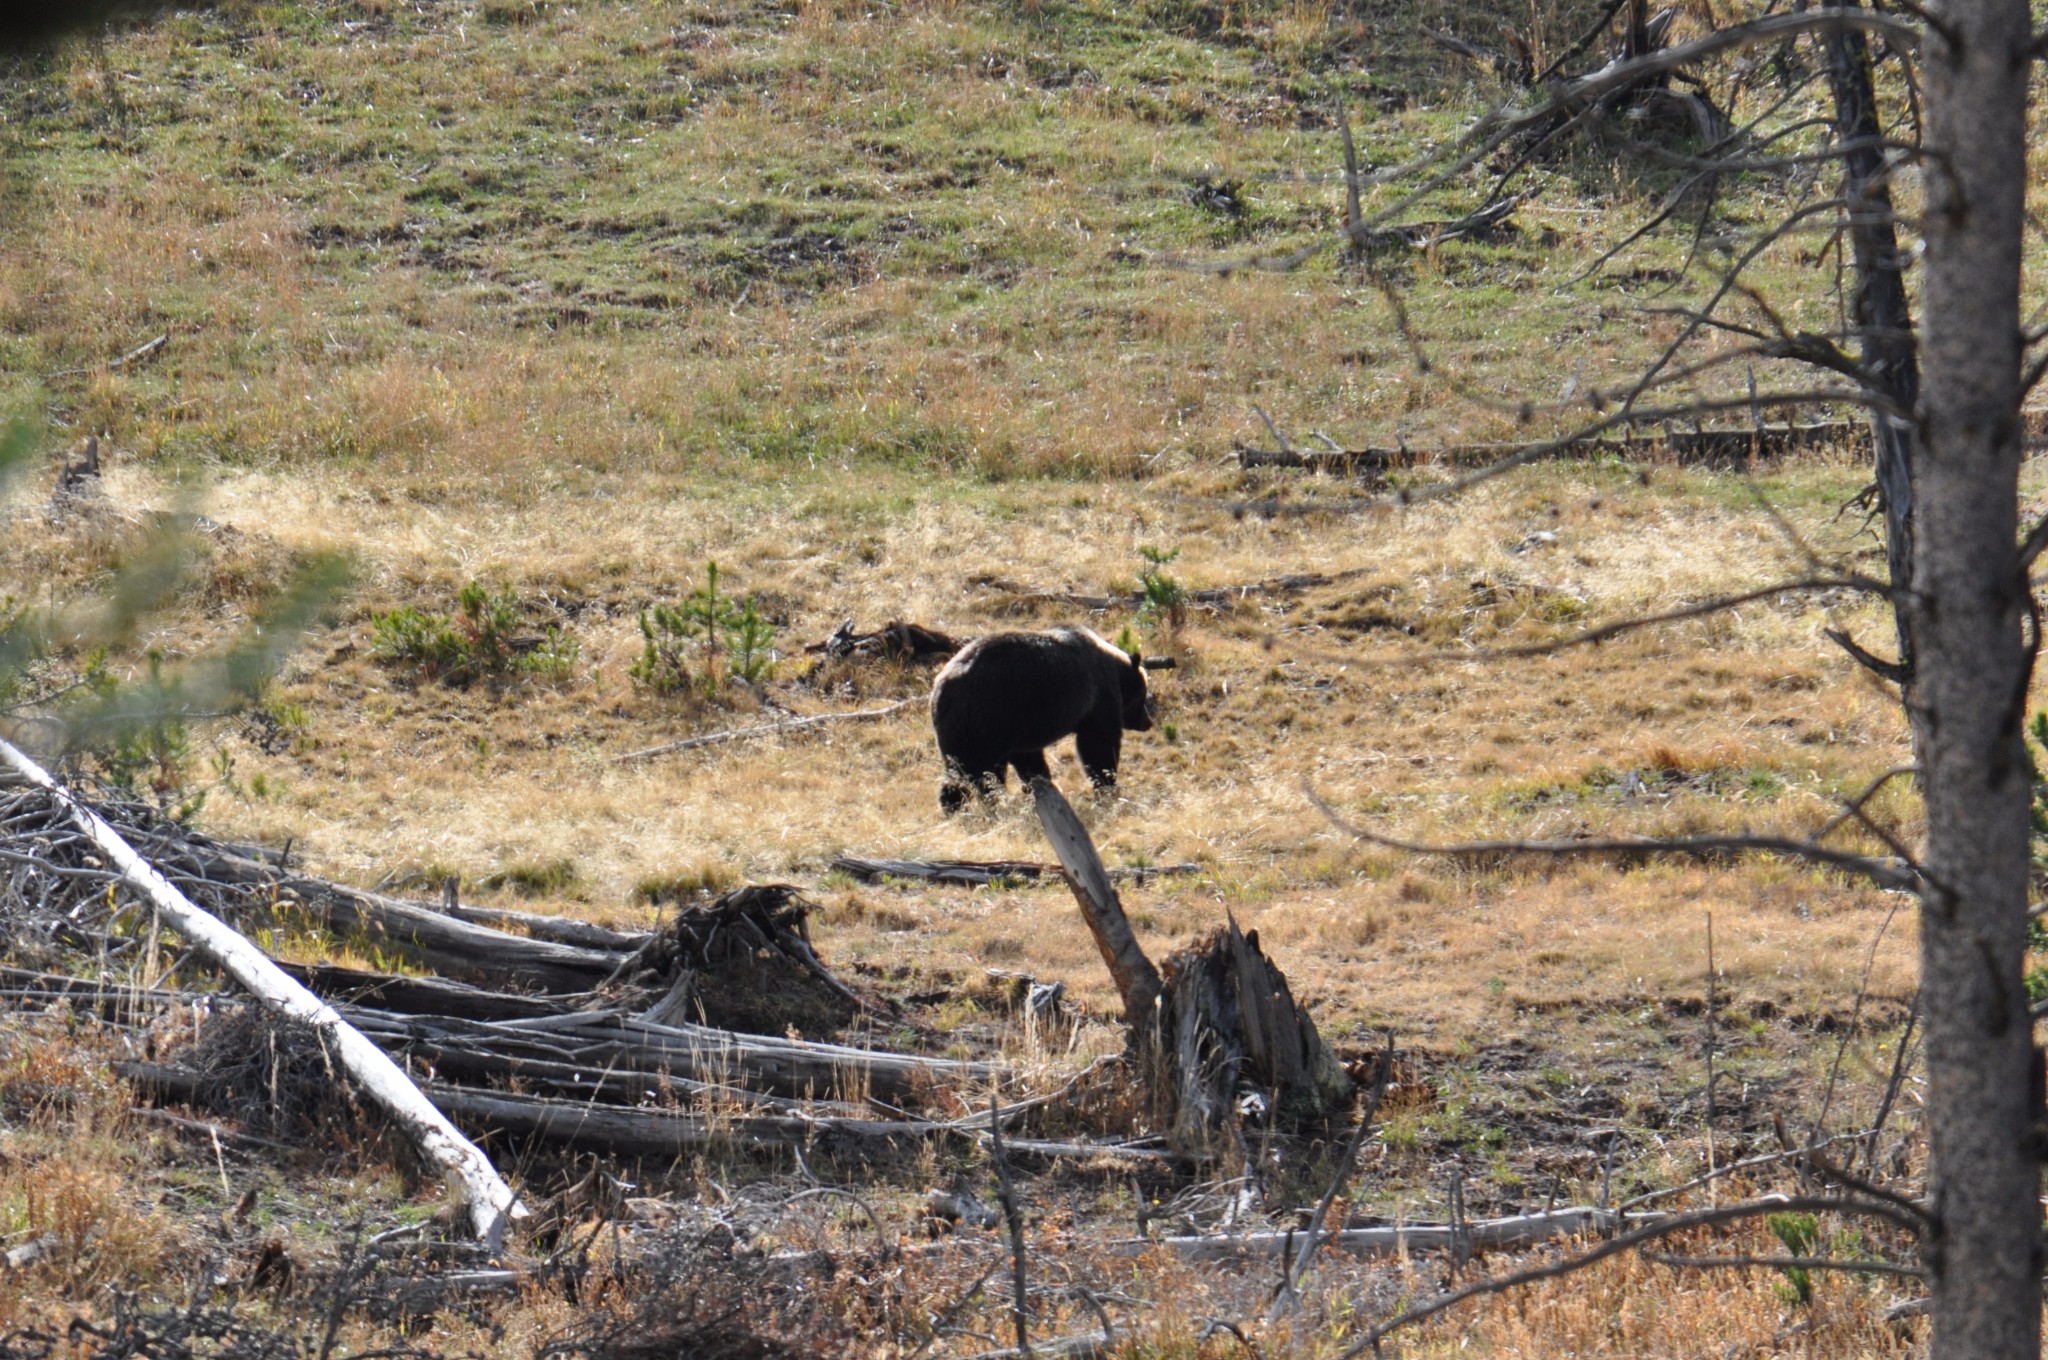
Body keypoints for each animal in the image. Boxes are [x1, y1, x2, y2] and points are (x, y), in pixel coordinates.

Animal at [929, 622, 1155, 806]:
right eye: (1143, 695)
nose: (1148, 722)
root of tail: (941, 690)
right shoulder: (1097, 698)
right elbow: (1099, 744)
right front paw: (1108, 785)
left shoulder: (1021, 730)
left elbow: (1030, 761)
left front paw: (1041, 785)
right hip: (984, 719)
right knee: (979, 769)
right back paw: (989, 800)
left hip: (964, 729)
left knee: (959, 769)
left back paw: (953, 803)